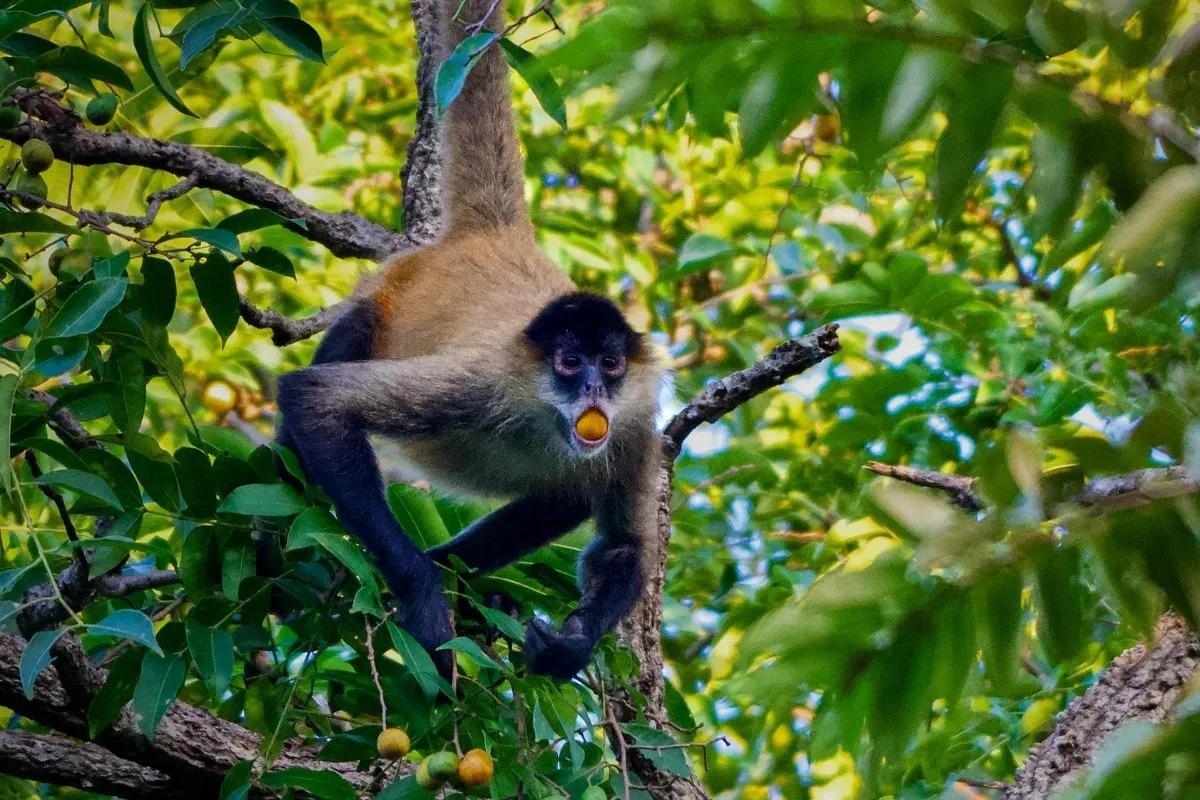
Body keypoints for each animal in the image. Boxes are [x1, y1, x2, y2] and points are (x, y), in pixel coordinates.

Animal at [274, 0, 662, 681]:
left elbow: (622, 547)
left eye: (611, 363)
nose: (593, 386)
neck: (545, 419)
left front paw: (570, 645)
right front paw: (424, 591)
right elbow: (314, 401)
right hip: (385, 299)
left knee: (566, 494)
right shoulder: (481, 381)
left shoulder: (637, 423)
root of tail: (496, 237)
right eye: (569, 362)